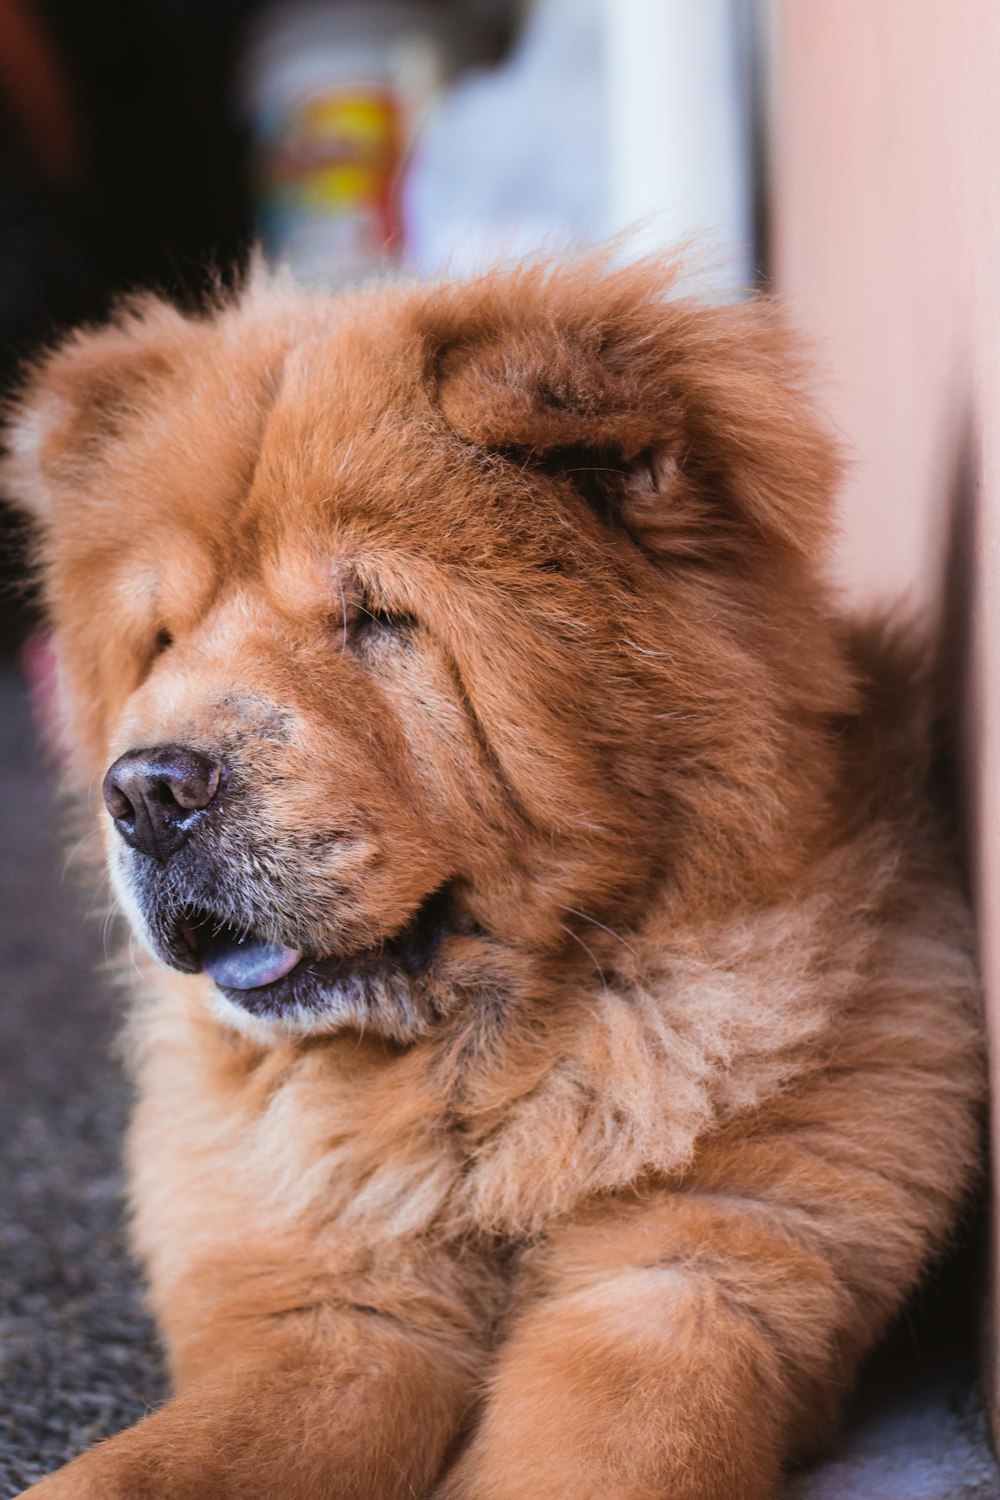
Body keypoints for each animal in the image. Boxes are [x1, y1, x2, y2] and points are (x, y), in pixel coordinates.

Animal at [1, 261, 983, 1500]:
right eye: (164, 639)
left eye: (378, 618)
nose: (143, 790)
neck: (478, 1087)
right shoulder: (340, 1311)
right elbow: (141, 1469)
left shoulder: (688, 1269)